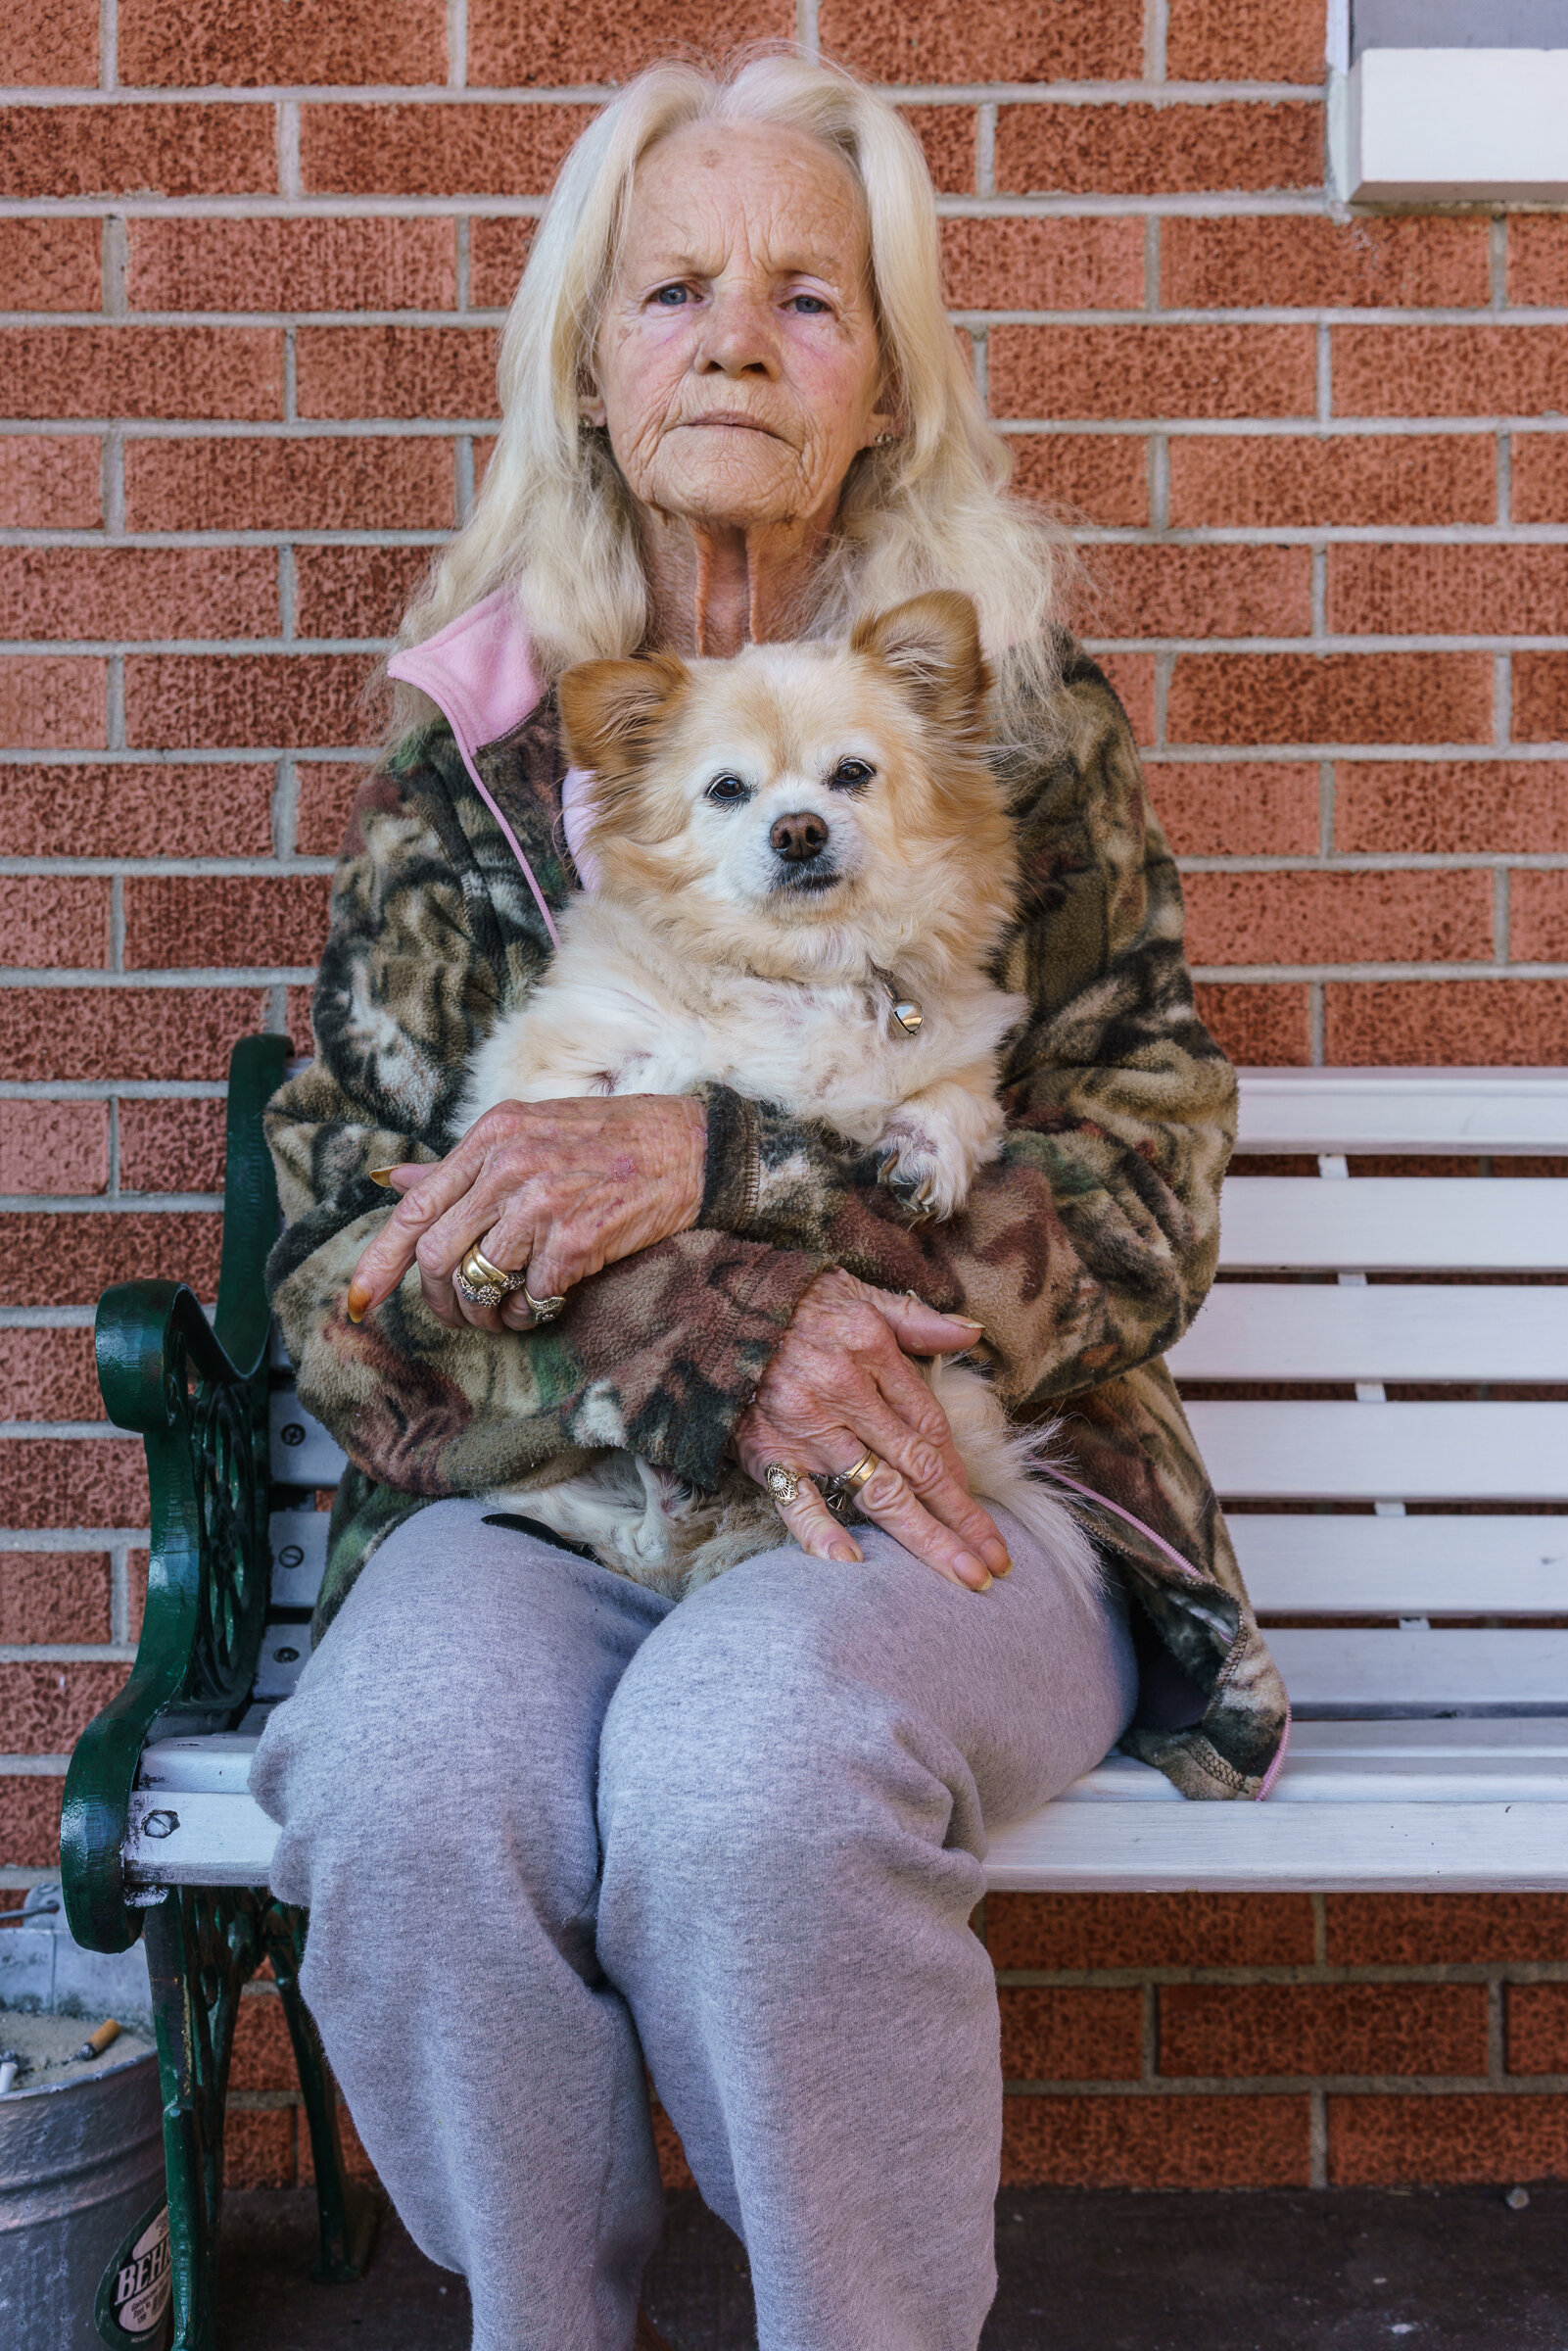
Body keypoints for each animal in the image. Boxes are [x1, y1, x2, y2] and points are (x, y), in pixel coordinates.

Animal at [455, 592, 1090, 1599]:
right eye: (728, 790)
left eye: (851, 774)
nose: (798, 829)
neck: (807, 971)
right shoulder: (550, 1072)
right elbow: (634, 1089)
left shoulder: (961, 1050)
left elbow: (954, 1099)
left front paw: (923, 1158)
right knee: (642, 1530)